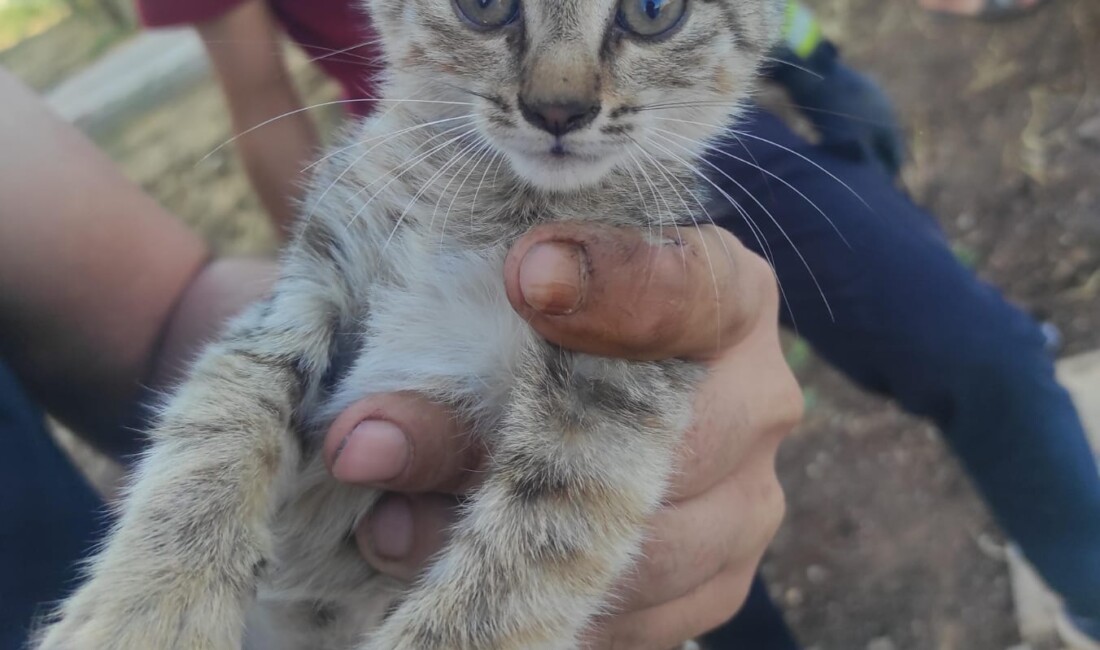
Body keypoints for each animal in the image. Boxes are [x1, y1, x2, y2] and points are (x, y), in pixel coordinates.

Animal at [36, 0, 783, 646]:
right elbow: (222, 409)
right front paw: (149, 604)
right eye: (483, 5)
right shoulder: (313, 277)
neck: (503, 208)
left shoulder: (609, 383)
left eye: (655, 12)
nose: (558, 109)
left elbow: (524, 557)